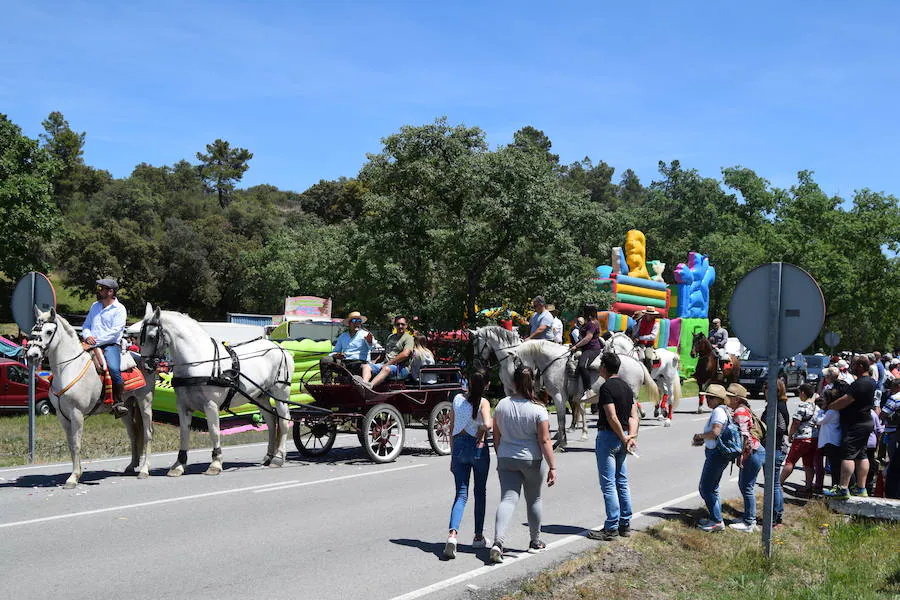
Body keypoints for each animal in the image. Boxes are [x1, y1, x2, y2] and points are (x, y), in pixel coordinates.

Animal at [24, 310, 155, 488]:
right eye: (33, 330)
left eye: (49, 332)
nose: (32, 355)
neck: (68, 368)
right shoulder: (62, 416)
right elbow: (71, 445)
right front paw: (77, 473)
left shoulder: (77, 414)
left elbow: (77, 444)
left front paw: (73, 478)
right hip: (127, 409)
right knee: (134, 433)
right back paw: (131, 466)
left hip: (144, 402)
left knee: (148, 433)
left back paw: (144, 470)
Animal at [137, 304, 294, 478]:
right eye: (139, 336)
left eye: (151, 337)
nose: (145, 365)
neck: (197, 362)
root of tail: (281, 348)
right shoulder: (182, 406)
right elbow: (184, 433)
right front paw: (179, 464)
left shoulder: (210, 405)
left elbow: (214, 431)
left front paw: (216, 463)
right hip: (261, 396)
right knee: (271, 421)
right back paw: (269, 456)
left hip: (280, 393)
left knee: (284, 420)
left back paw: (278, 458)